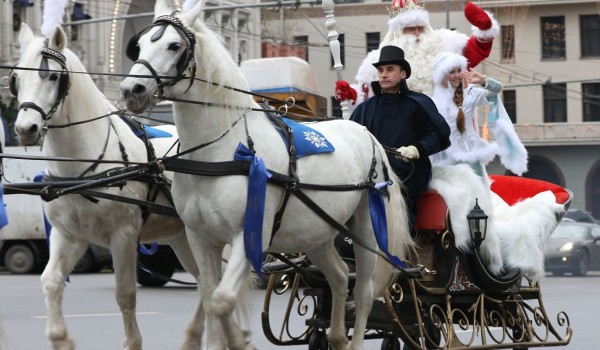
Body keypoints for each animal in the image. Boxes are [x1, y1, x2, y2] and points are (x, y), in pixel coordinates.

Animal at [11, 23, 202, 350]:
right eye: (17, 80)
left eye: (53, 76)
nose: (26, 130)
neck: (85, 168)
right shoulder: (70, 235)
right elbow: (50, 282)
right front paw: (61, 339)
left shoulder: (123, 236)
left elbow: (125, 295)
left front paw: (132, 342)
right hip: (182, 237)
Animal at [120, 0, 414, 350]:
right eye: (140, 44)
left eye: (174, 45)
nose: (131, 90)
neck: (221, 149)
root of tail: (368, 135)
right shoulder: (199, 238)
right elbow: (210, 300)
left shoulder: (249, 236)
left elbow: (222, 300)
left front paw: (241, 339)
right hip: (317, 233)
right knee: (341, 276)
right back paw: (336, 336)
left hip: (367, 230)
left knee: (364, 291)